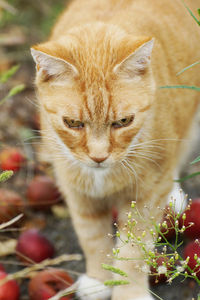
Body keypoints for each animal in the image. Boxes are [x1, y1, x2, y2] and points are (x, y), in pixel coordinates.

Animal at [30, 1, 199, 298]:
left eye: (123, 122)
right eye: (73, 123)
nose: (99, 157)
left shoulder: (146, 197)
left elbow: (132, 253)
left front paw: (128, 291)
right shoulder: (77, 193)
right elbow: (92, 237)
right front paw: (100, 279)